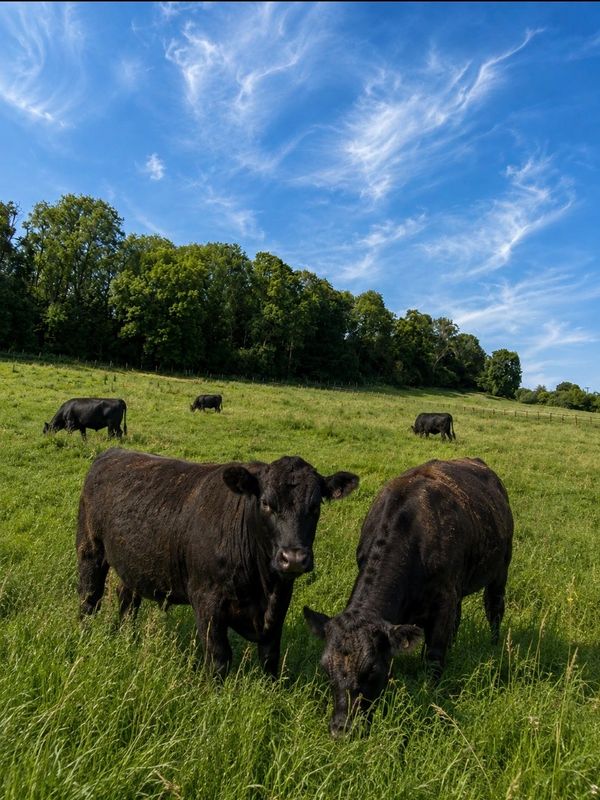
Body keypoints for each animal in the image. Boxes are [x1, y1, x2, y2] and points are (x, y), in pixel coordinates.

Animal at [76, 448, 359, 678]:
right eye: (266, 503)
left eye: (315, 506)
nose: (294, 559)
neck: (263, 585)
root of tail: (112, 453)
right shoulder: (207, 600)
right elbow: (219, 656)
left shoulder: (280, 601)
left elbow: (270, 656)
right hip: (89, 549)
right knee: (89, 597)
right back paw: (84, 636)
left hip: (132, 565)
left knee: (127, 599)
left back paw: (127, 637)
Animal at [304, 457, 513, 736]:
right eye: (325, 667)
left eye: (372, 670)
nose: (342, 728)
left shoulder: (443, 601)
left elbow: (433, 656)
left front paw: (431, 693)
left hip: (500, 569)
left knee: (494, 608)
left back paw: (494, 645)